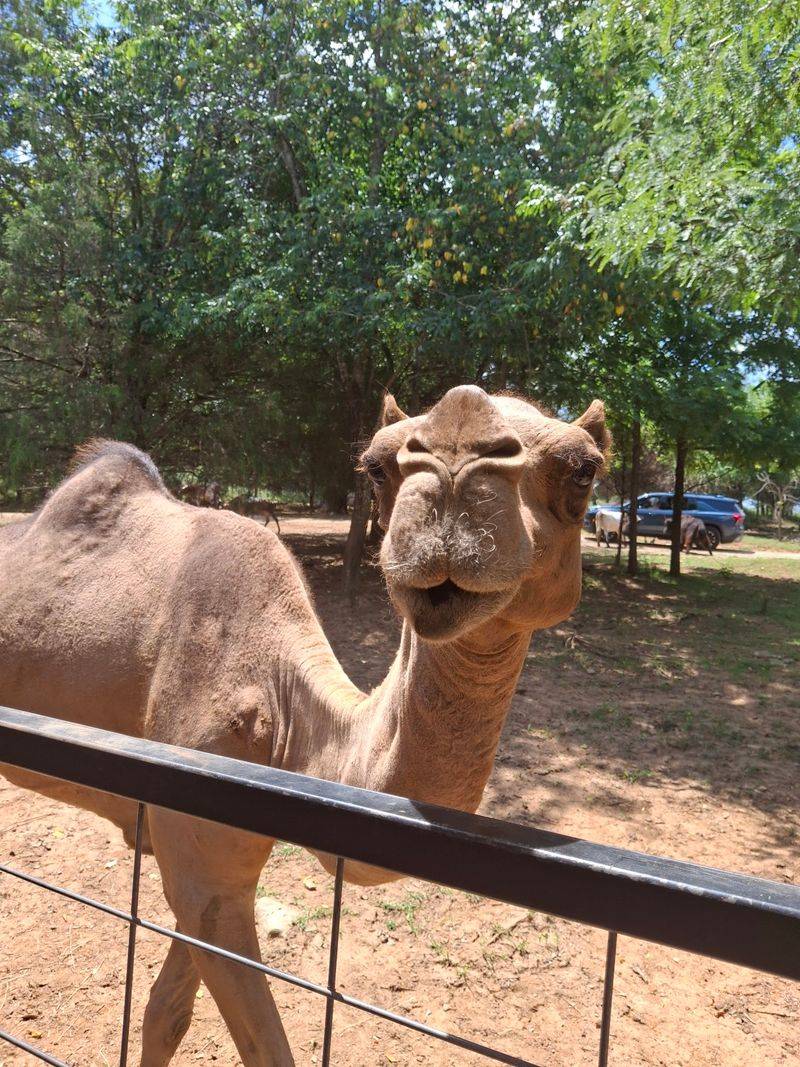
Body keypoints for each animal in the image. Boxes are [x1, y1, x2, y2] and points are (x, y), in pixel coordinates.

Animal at [0, 386, 609, 1066]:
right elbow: (260, 1044)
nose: (458, 444)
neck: (283, 704)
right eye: (376, 467)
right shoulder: (198, 854)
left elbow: (167, 1012)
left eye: (584, 469)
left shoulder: (210, 865)